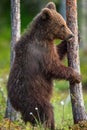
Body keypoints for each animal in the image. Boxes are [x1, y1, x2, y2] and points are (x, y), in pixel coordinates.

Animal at [7, 2, 81, 130]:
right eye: (62, 25)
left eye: (65, 23)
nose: (71, 35)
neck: (44, 36)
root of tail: (14, 102)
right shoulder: (42, 51)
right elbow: (53, 67)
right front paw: (76, 75)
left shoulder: (48, 47)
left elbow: (58, 52)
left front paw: (78, 35)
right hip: (34, 96)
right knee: (46, 111)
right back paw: (49, 125)